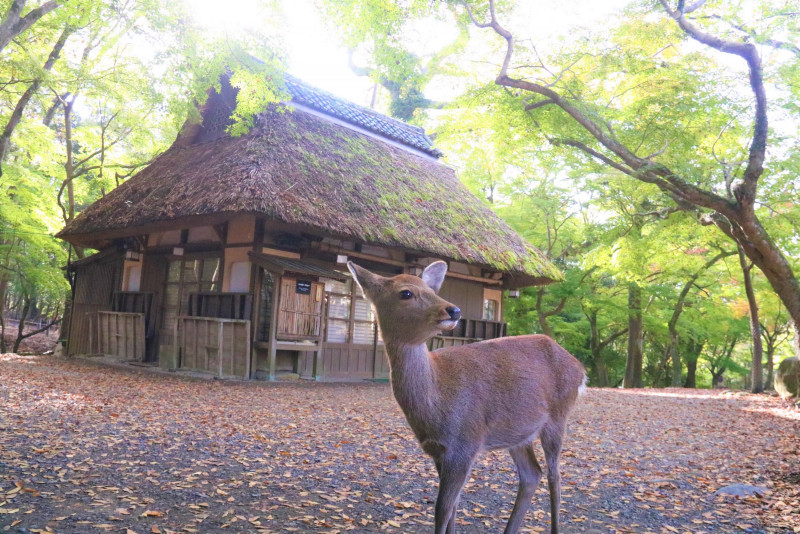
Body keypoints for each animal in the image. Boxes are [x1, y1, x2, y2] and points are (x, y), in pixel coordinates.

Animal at [346, 260, 584, 534]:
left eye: (432, 289)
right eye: (405, 293)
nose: (454, 310)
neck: (436, 401)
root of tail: (580, 369)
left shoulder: (465, 443)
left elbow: (442, 509)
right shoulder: (439, 451)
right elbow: (453, 506)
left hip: (558, 416)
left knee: (555, 476)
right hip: (518, 433)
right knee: (532, 474)